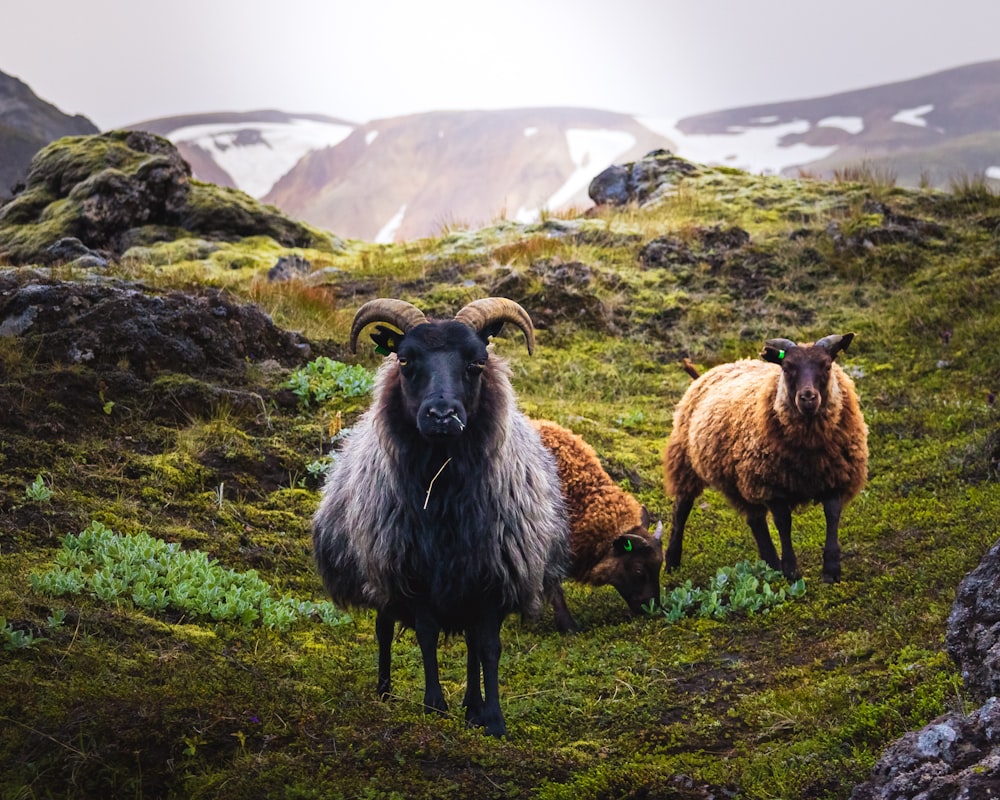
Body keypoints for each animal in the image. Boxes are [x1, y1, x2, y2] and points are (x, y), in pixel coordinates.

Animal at [310, 298, 572, 736]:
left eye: (477, 363)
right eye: (405, 360)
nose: (442, 415)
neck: (444, 488)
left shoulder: (492, 574)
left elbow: (487, 647)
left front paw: (491, 718)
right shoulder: (410, 570)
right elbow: (427, 635)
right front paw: (434, 704)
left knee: (470, 643)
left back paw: (472, 706)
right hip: (379, 569)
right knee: (383, 629)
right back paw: (384, 691)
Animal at [664, 334, 868, 584]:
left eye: (827, 365)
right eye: (787, 368)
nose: (808, 397)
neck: (809, 448)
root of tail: (708, 372)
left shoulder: (836, 477)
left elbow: (832, 517)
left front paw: (831, 571)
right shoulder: (770, 485)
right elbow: (784, 523)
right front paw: (791, 572)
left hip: (736, 479)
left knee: (755, 520)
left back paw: (771, 563)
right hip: (686, 460)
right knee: (681, 509)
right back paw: (671, 562)